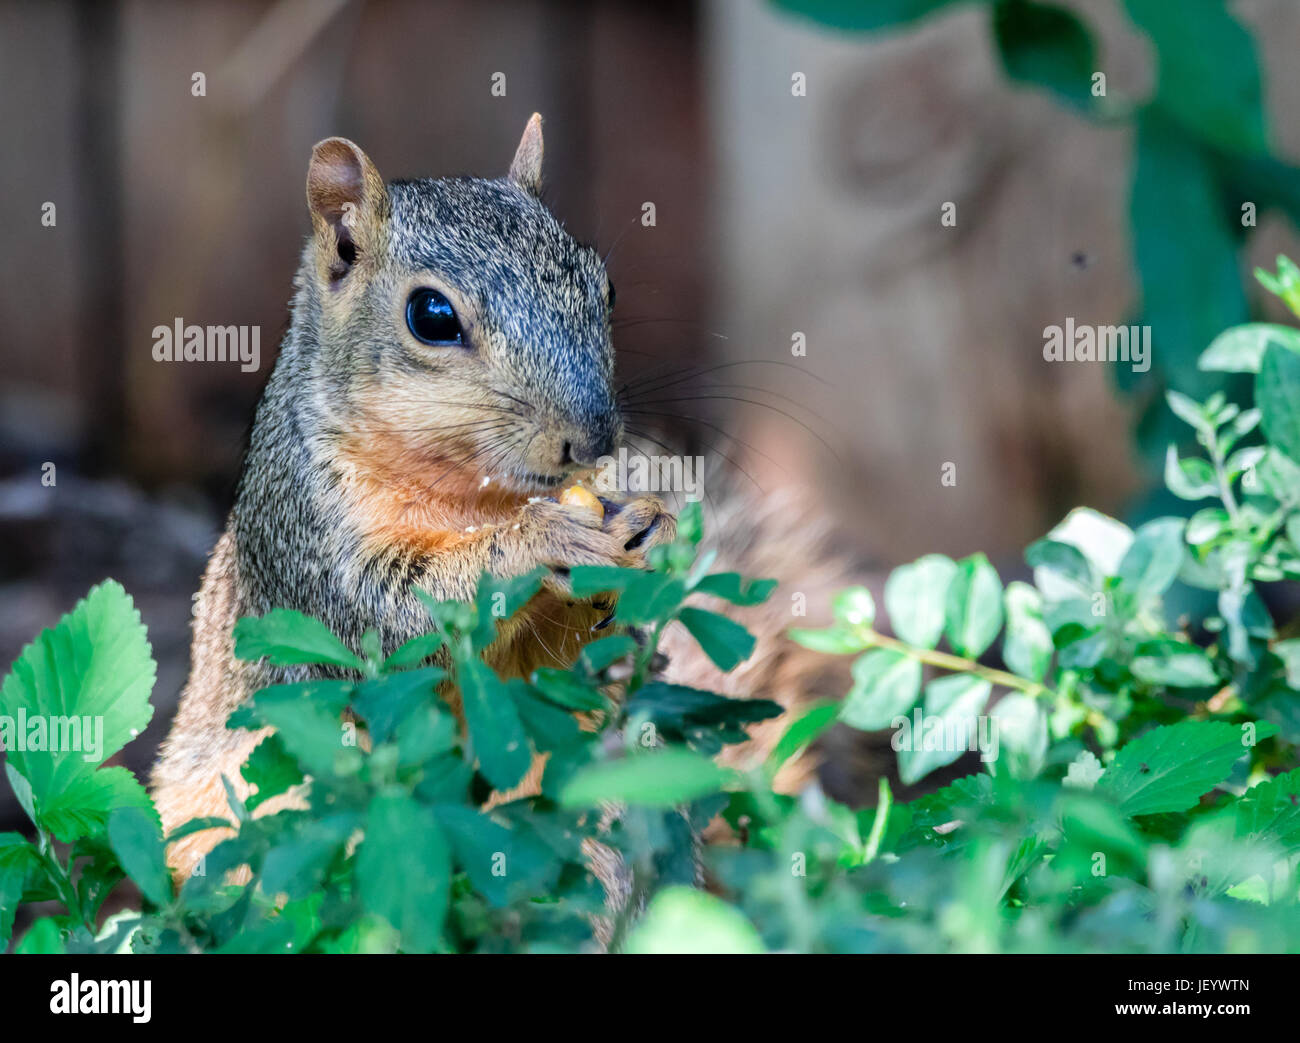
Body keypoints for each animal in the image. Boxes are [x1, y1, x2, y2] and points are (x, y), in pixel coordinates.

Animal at [149, 117, 852, 884]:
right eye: (430, 315)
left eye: (605, 288)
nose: (594, 438)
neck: (477, 496)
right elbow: (391, 618)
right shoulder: (304, 534)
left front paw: (649, 529)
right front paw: (542, 542)